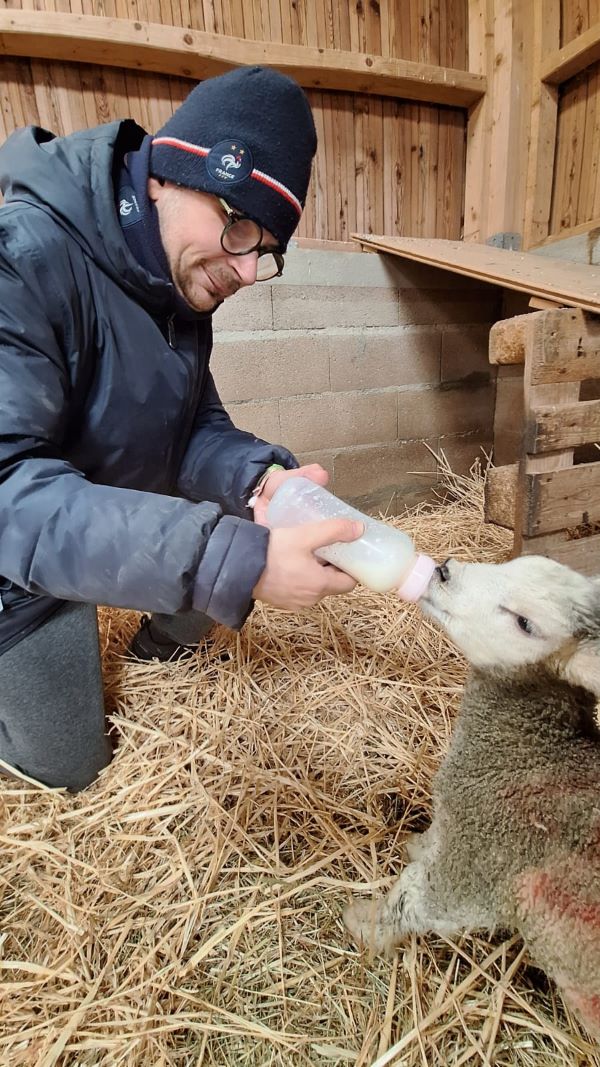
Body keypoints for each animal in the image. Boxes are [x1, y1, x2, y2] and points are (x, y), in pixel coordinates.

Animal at [341, 554, 597, 1037]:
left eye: (525, 623)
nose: (442, 570)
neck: (529, 754)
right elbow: (432, 840)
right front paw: (415, 845)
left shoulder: (479, 868)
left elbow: (413, 901)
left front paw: (364, 924)